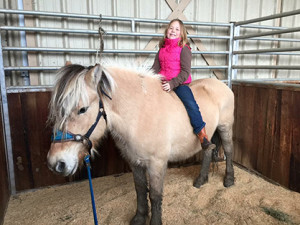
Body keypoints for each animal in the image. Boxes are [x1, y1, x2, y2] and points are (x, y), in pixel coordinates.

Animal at [47, 62, 234, 225]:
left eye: (82, 109)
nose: (55, 163)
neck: (139, 114)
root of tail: (221, 84)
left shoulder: (157, 163)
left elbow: (155, 195)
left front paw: (155, 221)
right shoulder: (134, 161)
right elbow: (140, 190)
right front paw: (139, 218)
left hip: (225, 127)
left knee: (228, 151)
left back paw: (229, 179)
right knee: (208, 150)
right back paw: (201, 179)